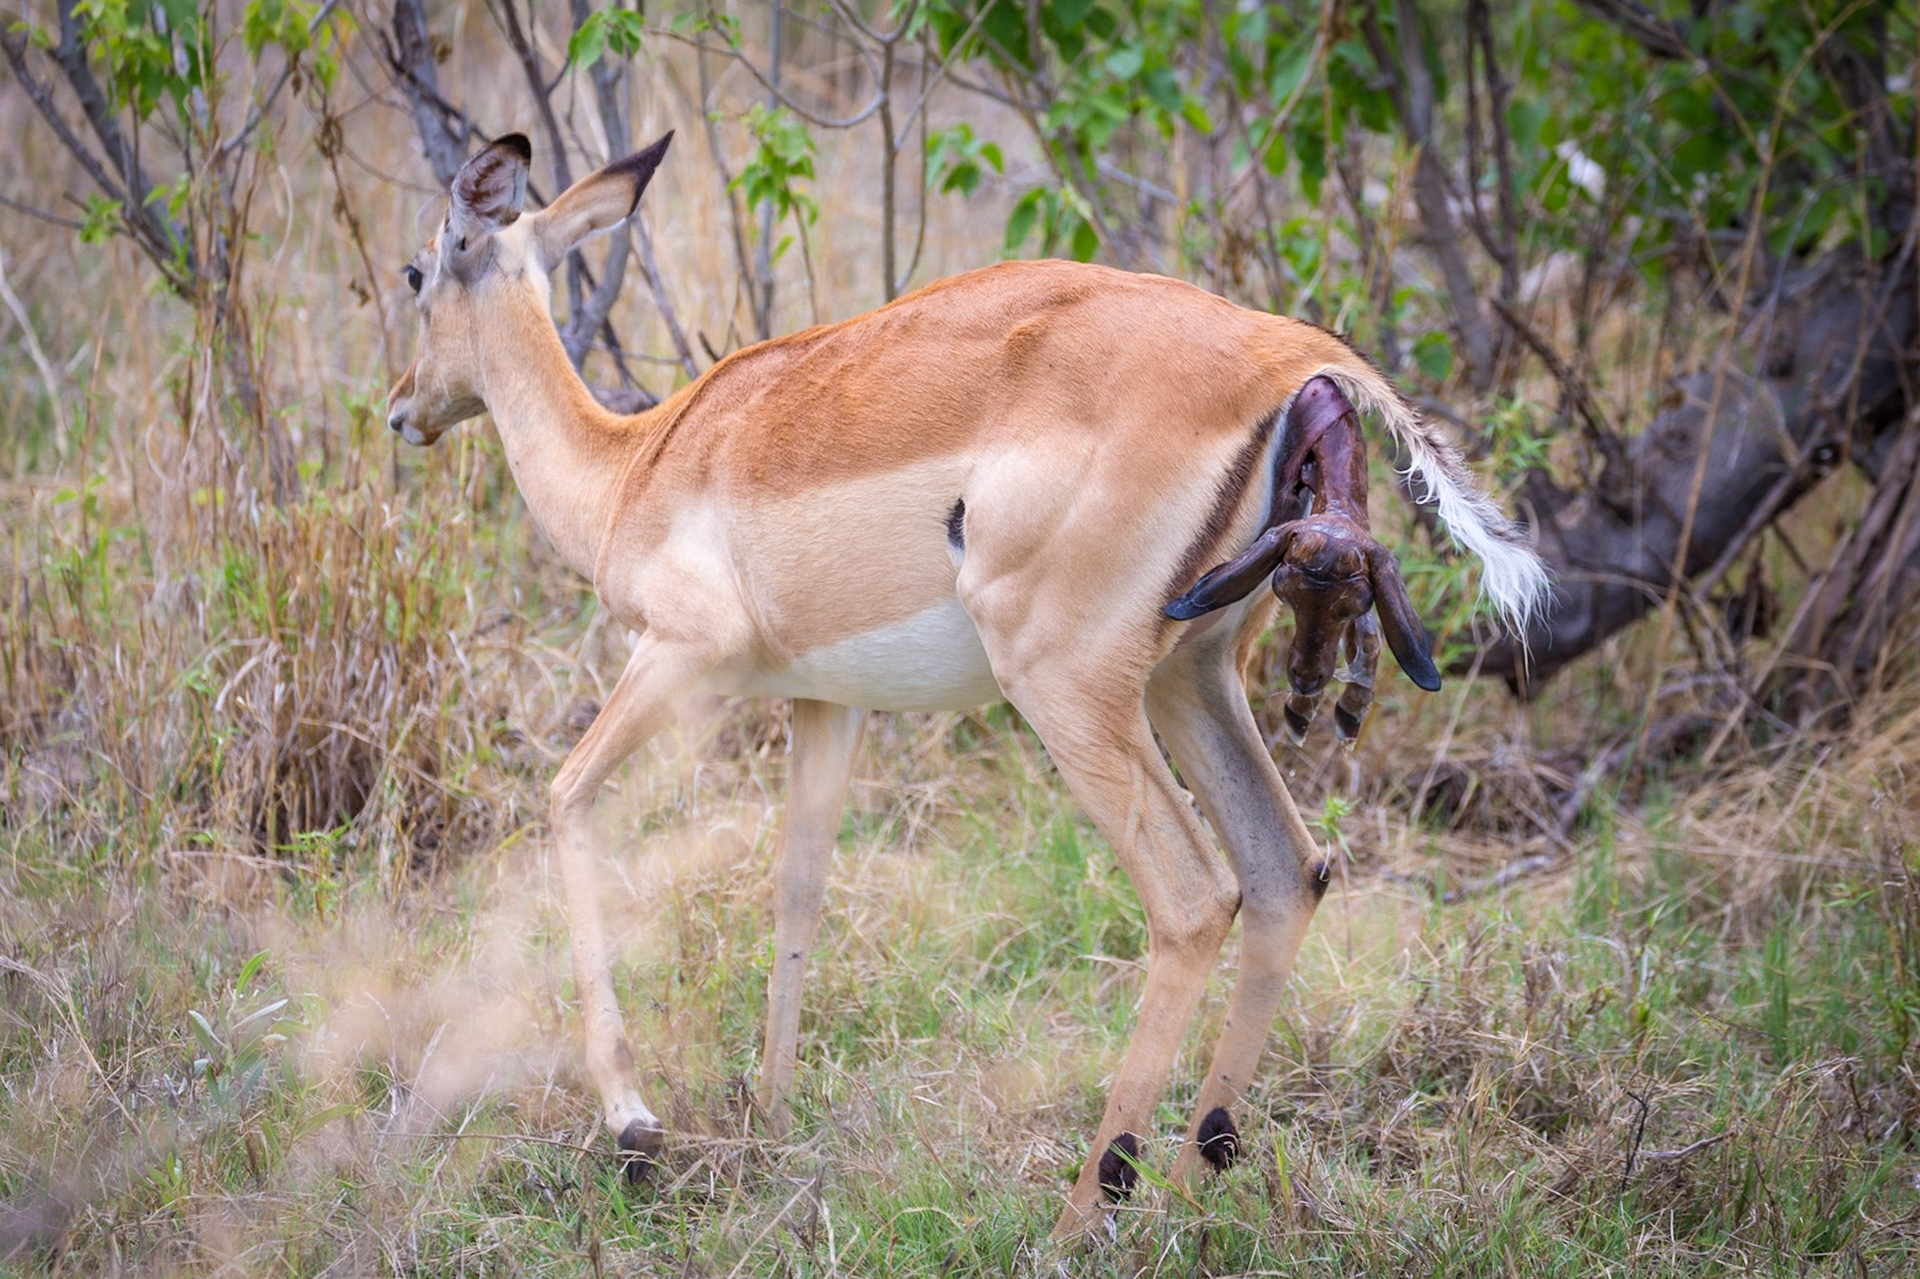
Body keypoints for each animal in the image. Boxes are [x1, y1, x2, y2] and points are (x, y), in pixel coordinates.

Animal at [385, 132, 1549, 1237]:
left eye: (416, 269)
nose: (402, 407)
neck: (636, 464)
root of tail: (1293, 357)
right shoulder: (826, 699)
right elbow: (797, 880)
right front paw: (771, 1114)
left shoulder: (681, 657)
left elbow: (565, 801)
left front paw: (635, 1126)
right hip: (1191, 678)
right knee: (1285, 869)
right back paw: (1187, 1183)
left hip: (1068, 689)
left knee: (1191, 898)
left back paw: (1084, 1213)